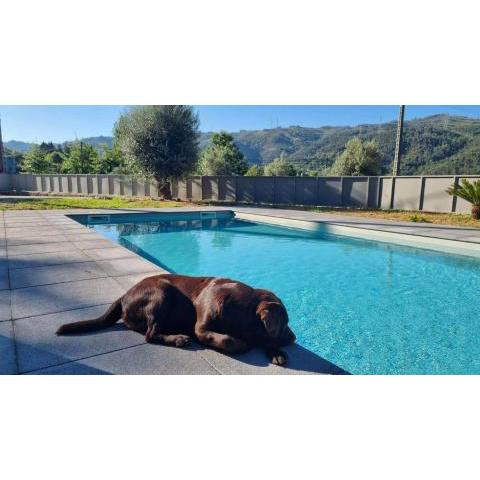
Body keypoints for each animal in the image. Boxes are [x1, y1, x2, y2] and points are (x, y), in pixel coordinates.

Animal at [56, 276, 296, 366]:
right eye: (285, 322)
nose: (294, 338)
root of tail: (124, 295)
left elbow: (263, 337)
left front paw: (275, 351)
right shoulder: (201, 328)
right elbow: (227, 339)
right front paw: (240, 344)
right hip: (162, 291)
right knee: (150, 335)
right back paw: (178, 339)